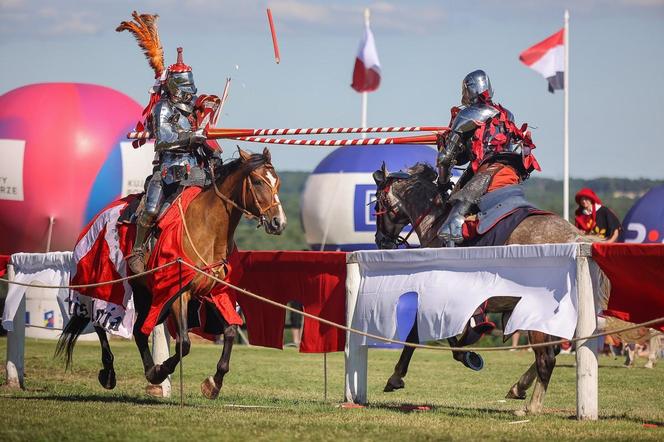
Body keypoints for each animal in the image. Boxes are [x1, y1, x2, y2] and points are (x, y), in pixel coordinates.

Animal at [57, 147, 286, 398]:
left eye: (277, 182)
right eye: (258, 181)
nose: (279, 222)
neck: (209, 228)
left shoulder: (214, 292)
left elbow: (230, 330)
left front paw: (213, 383)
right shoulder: (178, 293)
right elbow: (184, 343)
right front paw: (162, 370)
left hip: (145, 293)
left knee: (138, 332)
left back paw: (147, 370)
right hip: (106, 282)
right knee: (99, 321)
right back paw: (109, 372)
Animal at [374, 162, 600, 414]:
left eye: (377, 202)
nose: (381, 240)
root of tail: (576, 239)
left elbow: (417, 333)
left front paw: (397, 376)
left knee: (547, 357)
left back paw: (531, 407)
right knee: (554, 351)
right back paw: (519, 388)